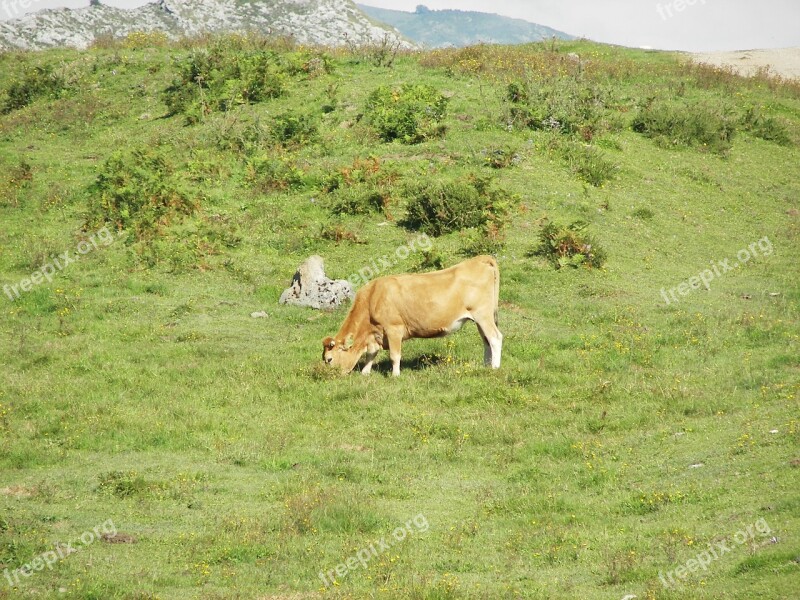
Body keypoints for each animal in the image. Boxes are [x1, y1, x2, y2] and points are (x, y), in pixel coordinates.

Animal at [324, 254, 500, 376]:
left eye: (329, 359)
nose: (330, 376)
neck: (373, 297)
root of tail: (480, 260)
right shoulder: (375, 334)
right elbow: (371, 354)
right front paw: (365, 373)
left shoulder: (393, 328)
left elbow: (394, 355)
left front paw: (395, 375)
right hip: (480, 318)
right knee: (486, 340)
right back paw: (486, 366)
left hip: (483, 315)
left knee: (495, 338)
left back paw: (495, 367)